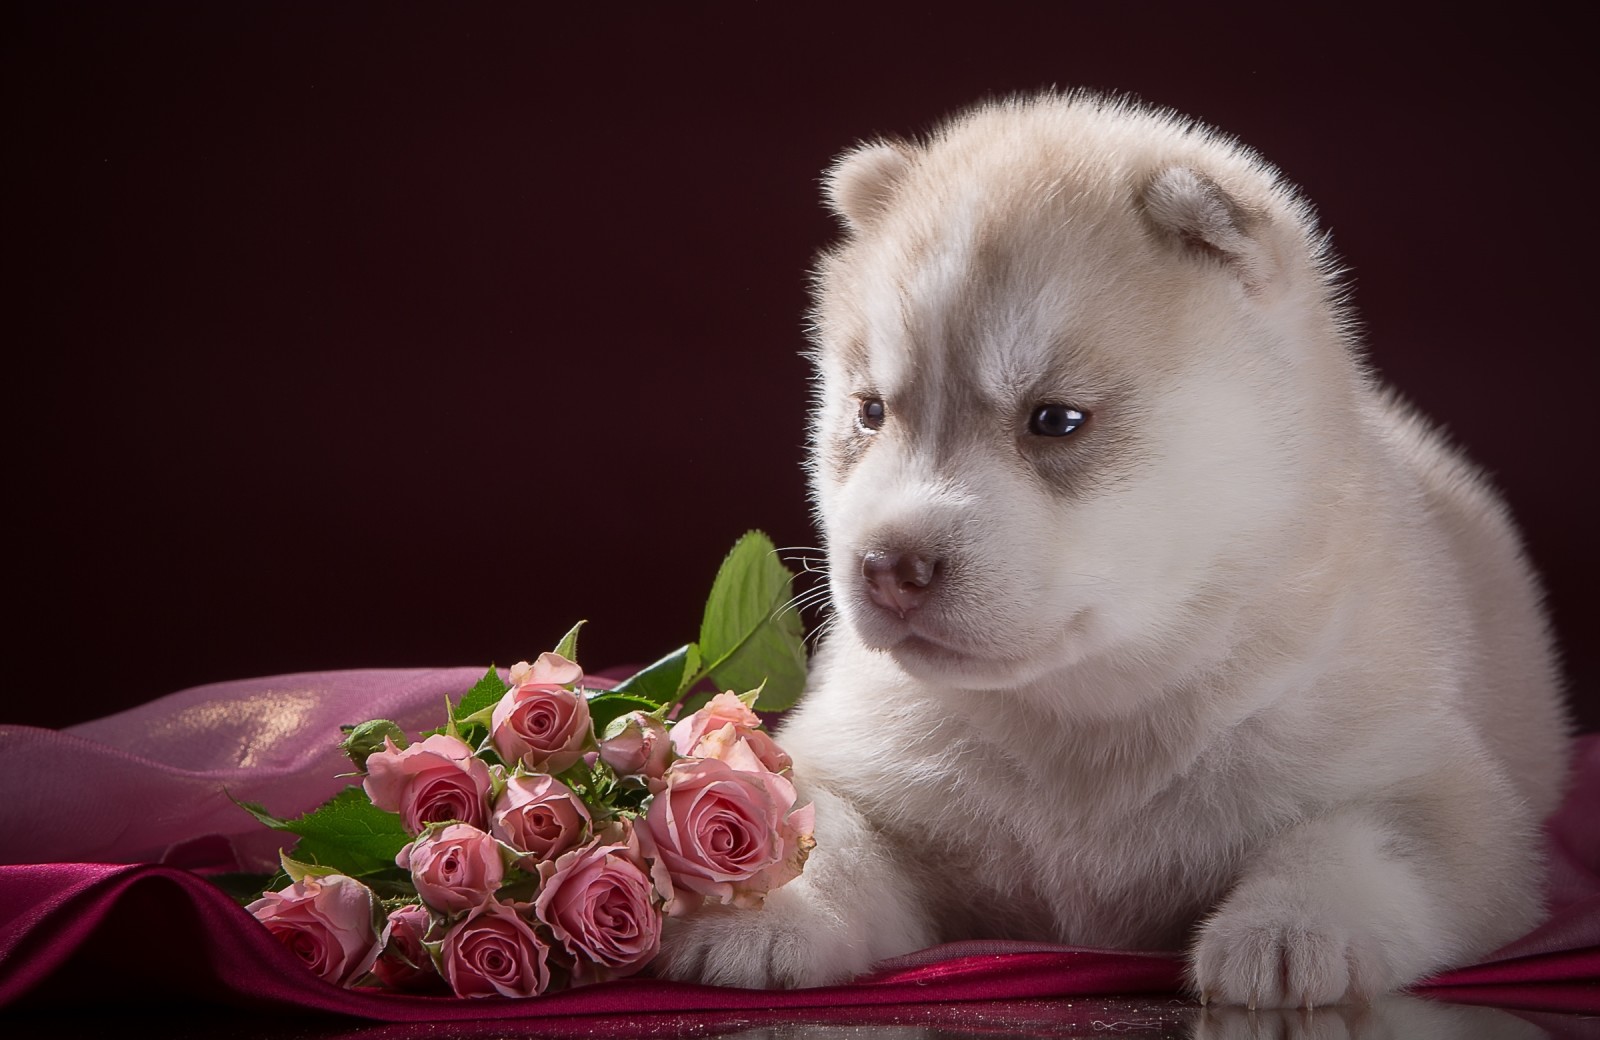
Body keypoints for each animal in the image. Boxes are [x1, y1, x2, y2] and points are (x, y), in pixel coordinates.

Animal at [656, 91, 1568, 1004]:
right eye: (871, 412)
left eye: (1057, 420)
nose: (889, 567)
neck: (1085, 717)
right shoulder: (859, 760)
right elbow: (816, 826)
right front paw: (770, 907)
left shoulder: (1433, 786)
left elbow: (1360, 841)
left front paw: (1291, 927)